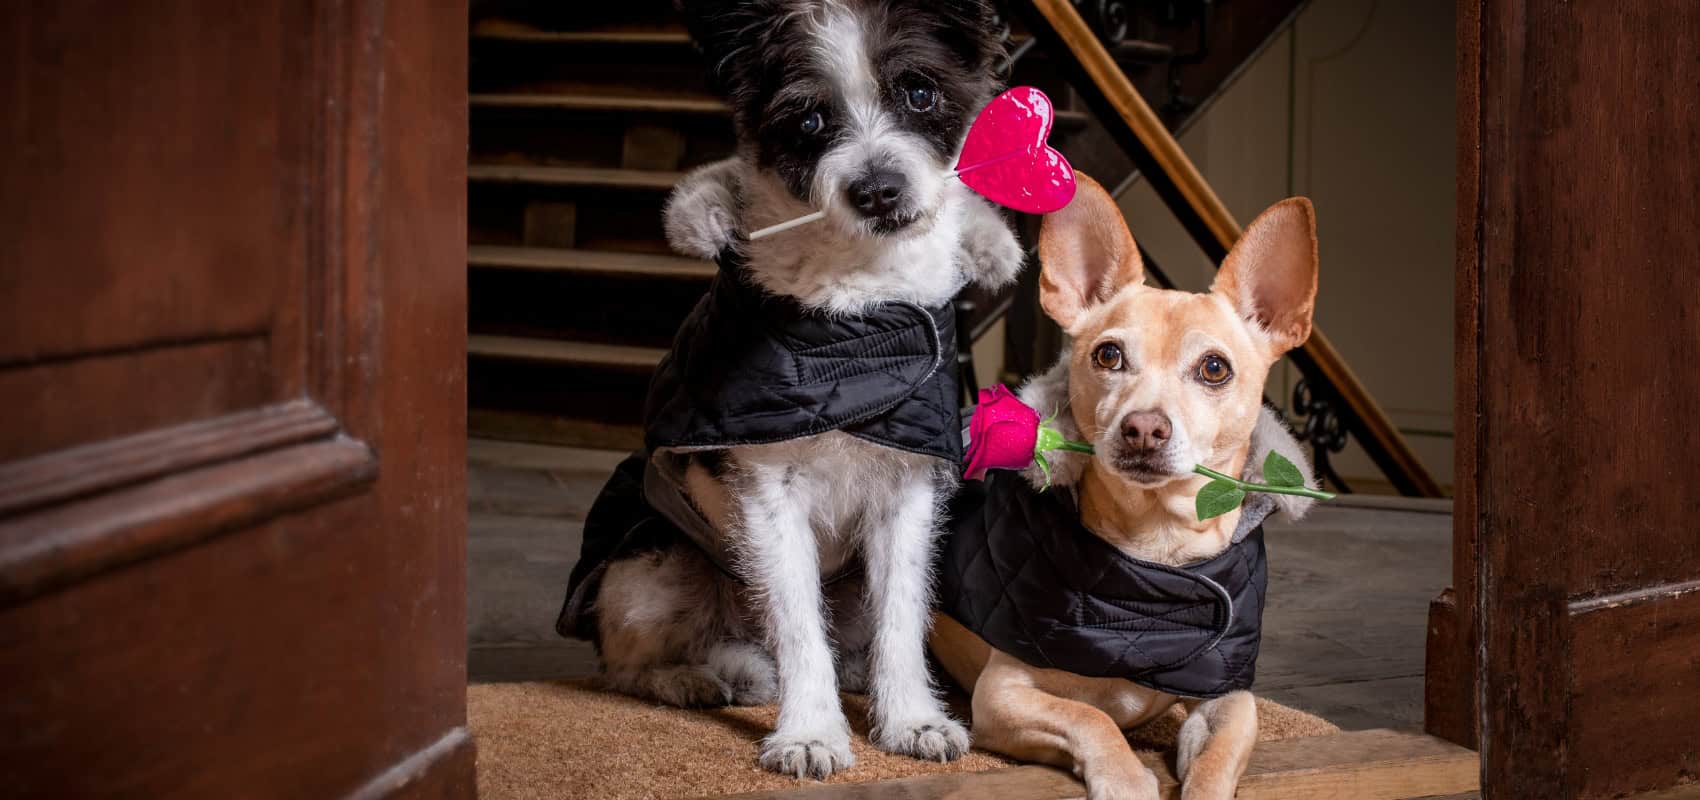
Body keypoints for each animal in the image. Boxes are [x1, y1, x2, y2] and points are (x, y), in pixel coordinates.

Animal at [571, 0, 1020, 781]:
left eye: (920, 93)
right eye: (808, 120)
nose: (878, 191)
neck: (857, 320)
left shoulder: (907, 489)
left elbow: (902, 615)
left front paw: (910, 717)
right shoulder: (766, 490)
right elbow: (797, 622)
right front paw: (810, 731)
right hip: (649, 567)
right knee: (626, 665)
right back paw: (695, 678)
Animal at [931, 176, 1312, 800]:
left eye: (1214, 368)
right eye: (1108, 355)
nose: (1144, 428)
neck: (1156, 553)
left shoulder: (1229, 697)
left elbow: (1216, 758)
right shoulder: (1002, 695)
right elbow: (1092, 716)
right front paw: (1127, 777)